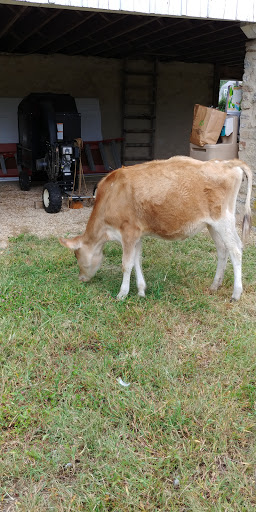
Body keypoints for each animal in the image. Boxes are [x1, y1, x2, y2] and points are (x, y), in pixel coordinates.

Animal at [58, 156, 252, 300]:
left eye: (76, 255)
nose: (81, 278)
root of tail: (226, 162)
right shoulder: (137, 234)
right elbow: (136, 261)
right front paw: (141, 291)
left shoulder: (128, 232)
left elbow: (126, 264)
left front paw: (122, 294)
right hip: (212, 225)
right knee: (222, 250)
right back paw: (215, 285)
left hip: (224, 220)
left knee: (236, 249)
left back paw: (236, 293)